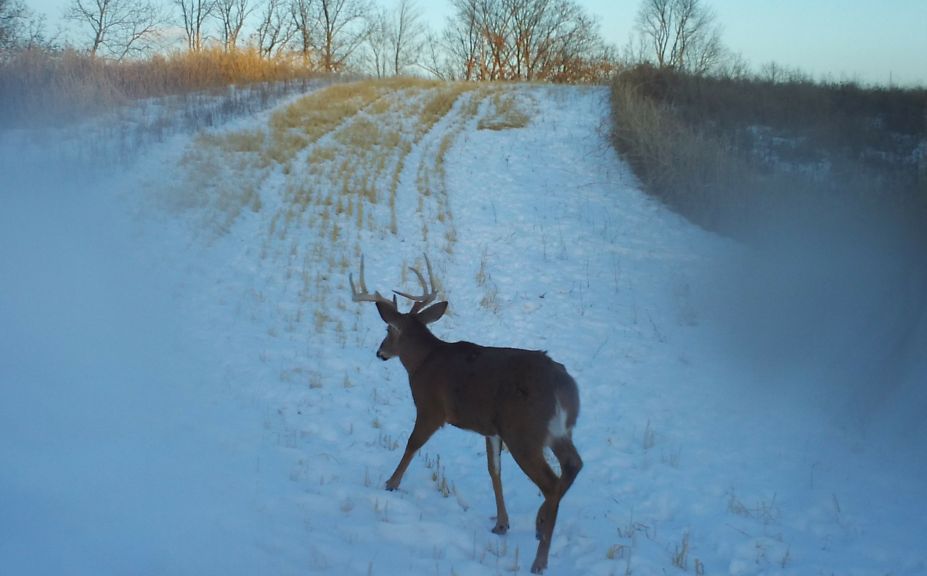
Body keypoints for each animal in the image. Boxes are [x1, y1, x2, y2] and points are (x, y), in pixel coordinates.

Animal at [352, 254, 584, 572]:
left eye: (388, 331)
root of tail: (564, 388)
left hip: (524, 432)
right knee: (573, 465)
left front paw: (391, 483)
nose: (380, 353)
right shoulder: (491, 429)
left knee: (551, 482)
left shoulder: (431, 408)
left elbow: (412, 444)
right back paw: (540, 524)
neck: (422, 362)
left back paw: (539, 558)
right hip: (556, 432)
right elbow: (493, 470)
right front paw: (501, 523)